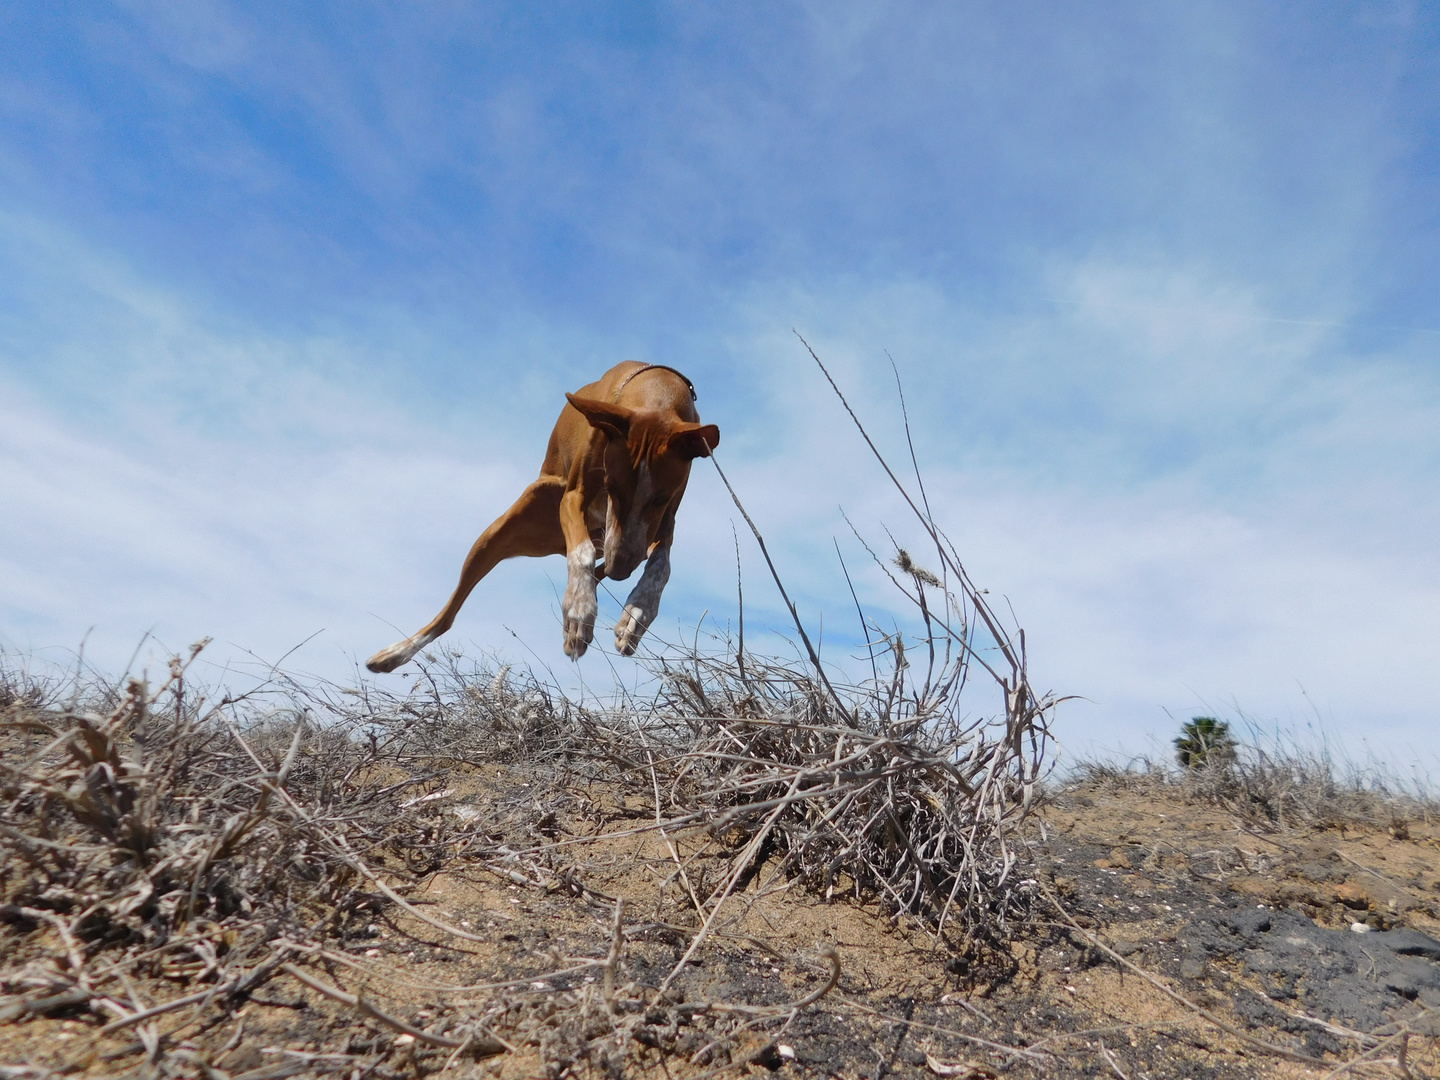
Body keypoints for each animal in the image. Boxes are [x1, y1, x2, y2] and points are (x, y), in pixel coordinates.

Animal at [362, 364, 717, 673]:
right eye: (612, 488)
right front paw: (579, 613)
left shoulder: (664, 522)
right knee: (450, 612)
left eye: (660, 498)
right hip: (507, 525)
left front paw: (636, 614)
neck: (657, 391)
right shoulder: (573, 498)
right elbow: (582, 553)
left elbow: (660, 565)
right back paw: (396, 652)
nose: (620, 569)